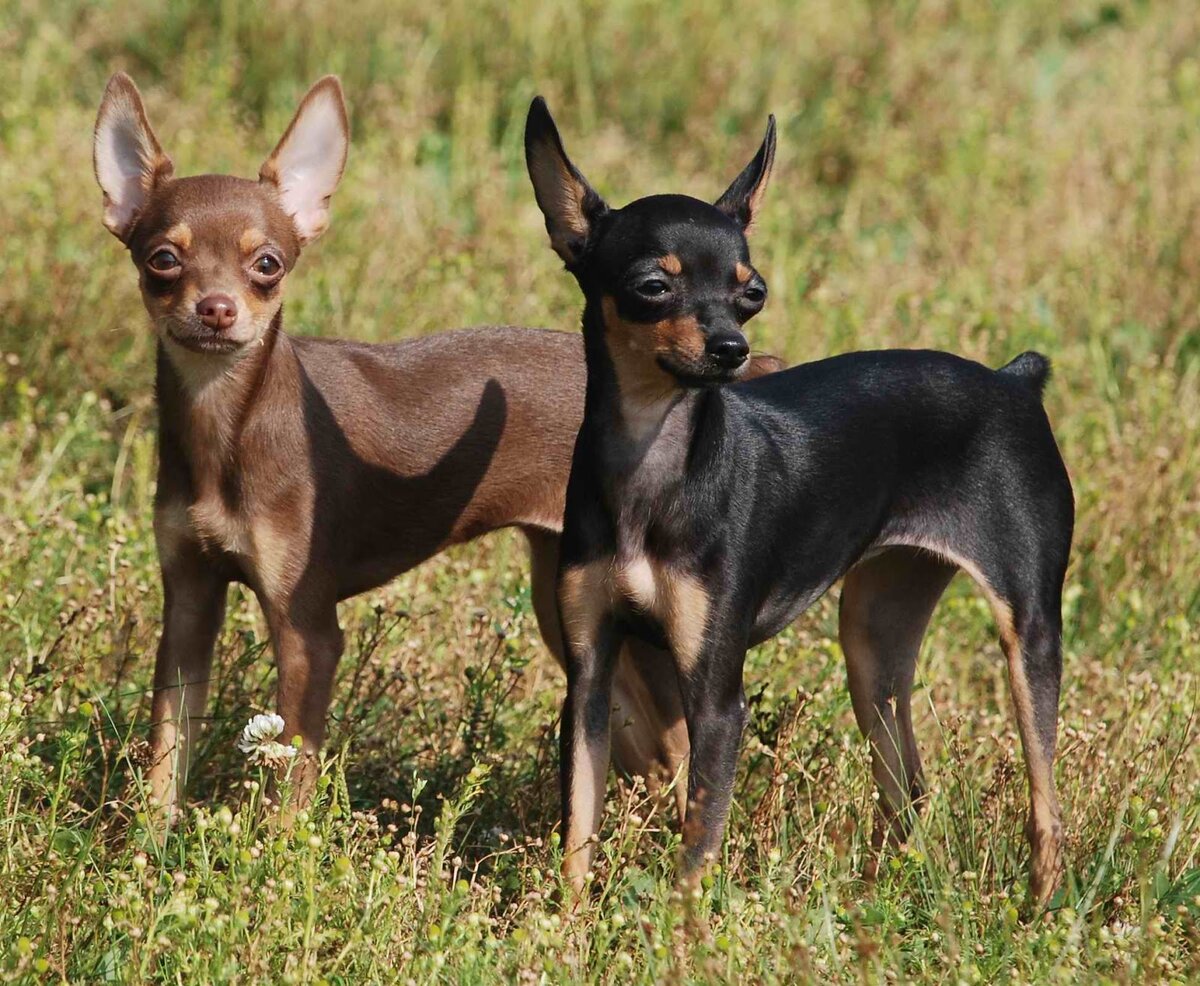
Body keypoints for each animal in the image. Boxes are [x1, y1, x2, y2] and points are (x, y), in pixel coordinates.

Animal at [96, 77, 787, 815]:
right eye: (163, 260)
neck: (229, 425)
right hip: (576, 615)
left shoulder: (308, 632)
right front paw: (152, 834)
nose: (217, 308)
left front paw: (276, 842)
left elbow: (291, 787)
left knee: (684, 753)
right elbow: (166, 754)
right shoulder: (189, 604)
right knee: (656, 755)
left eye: (267, 265)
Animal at [530, 96, 1075, 906]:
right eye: (654, 286)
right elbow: (579, 831)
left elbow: (696, 850)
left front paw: (677, 931)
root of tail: (1014, 382)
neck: (653, 463)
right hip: (873, 646)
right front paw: (563, 926)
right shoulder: (591, 676)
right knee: (909, 791)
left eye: (751, 293)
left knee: (1046, 808)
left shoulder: (716, 698)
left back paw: (1038, 914)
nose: (731, 349)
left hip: (1028, 636)